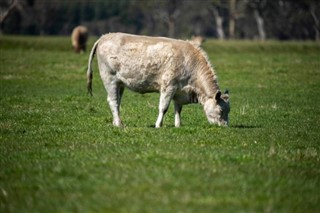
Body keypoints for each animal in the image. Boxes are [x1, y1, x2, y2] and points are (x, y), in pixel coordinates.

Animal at [86, 32, 229, 127]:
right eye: (221, 110)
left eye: (229, 110)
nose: (225, 126)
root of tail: (105, 36)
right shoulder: (168, 86)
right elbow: (163, 107)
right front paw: (158, 125)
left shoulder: (179, 91)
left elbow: (178, 108)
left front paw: (178, 125)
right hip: (109, 78)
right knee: (113, 101)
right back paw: (119, 124)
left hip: (120, 83)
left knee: (117, 101)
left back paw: (116, 122)